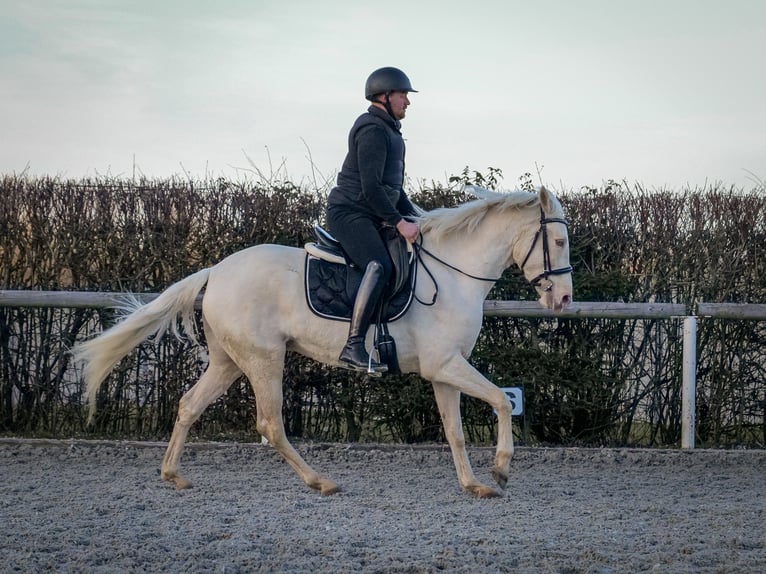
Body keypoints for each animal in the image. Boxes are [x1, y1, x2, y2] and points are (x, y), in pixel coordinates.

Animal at [73, 186, 576, 500]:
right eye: (557, 240)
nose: (565, 300)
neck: (453, 275)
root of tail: (216, 270)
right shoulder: (446, 365)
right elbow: (502, 401)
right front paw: (502, 468)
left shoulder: (443, 371)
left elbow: (454, 429)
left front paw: (475, 484)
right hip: (264, 359)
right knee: (270, 423)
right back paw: (320, 482)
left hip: (229, 361)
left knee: (190, 405)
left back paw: (173, 475)